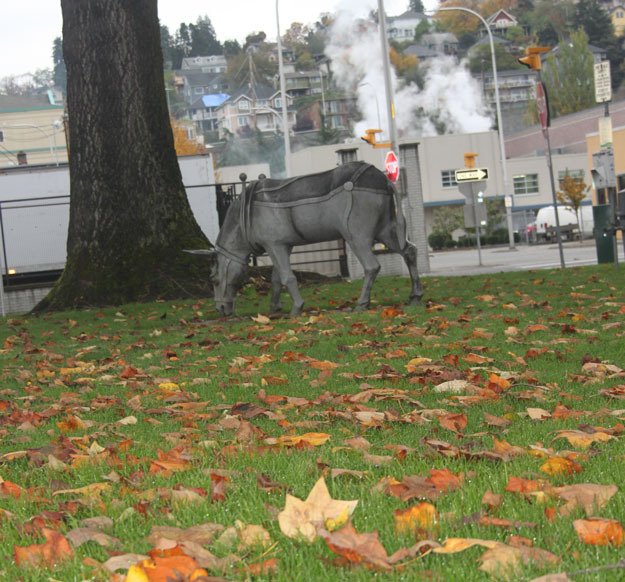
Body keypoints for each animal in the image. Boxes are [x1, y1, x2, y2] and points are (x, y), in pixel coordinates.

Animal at [200, 163, 424, 320]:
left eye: (213, 279)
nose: (220, 308)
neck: (247, 213)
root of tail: (384, 180)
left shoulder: (275, 245)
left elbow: (287, 277)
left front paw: (297, 307)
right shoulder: (282, 246)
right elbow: (276, 278)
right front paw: (274, 308)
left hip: (357, 237)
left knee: (372, 266)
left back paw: (362, 303)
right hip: (385, 230)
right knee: (409, 251)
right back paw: (415, 296)